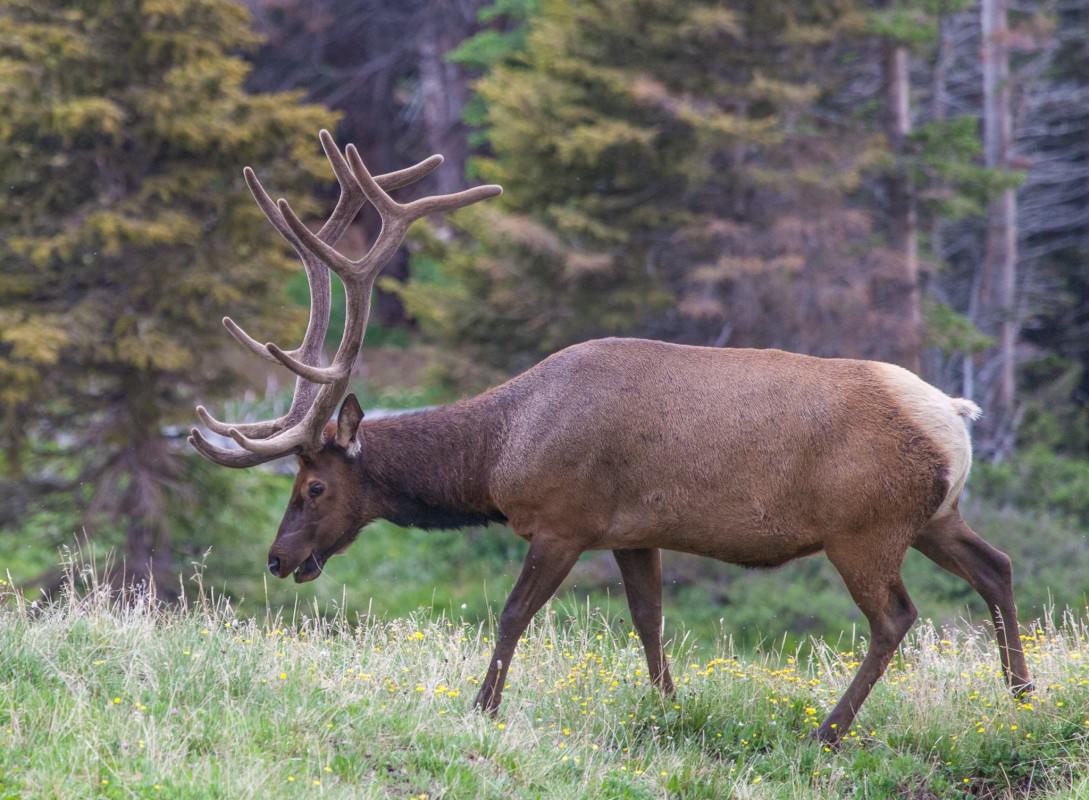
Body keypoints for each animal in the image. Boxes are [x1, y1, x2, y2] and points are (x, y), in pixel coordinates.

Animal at [191, 131, 1032, 744]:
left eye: (314, 486)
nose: (278, 558)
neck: (500, 452)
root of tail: (955, 419)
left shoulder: (564, 519)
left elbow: (511, 614)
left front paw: (481, 707)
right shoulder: (634, 530)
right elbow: (648, 621)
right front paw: (666, 707)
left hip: (864, 526)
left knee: (895, 617)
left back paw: (828, 729)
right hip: (934, 515)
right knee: (995, 566)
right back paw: (1020, 697)